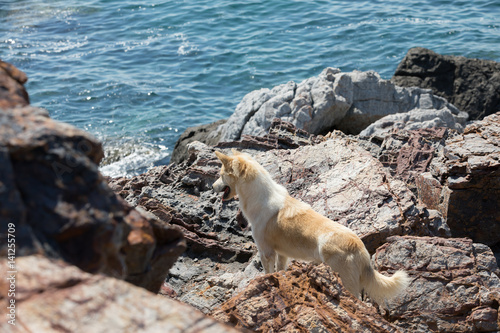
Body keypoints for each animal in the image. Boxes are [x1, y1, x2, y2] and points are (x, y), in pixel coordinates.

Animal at [213, 149, 408, 302]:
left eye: (221, 175)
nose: (212, 187)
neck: (259, 196)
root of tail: (361, 249)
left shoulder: (265, 251)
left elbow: (267, 272)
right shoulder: (281, 254)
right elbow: (279, 271)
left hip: (344, 281)